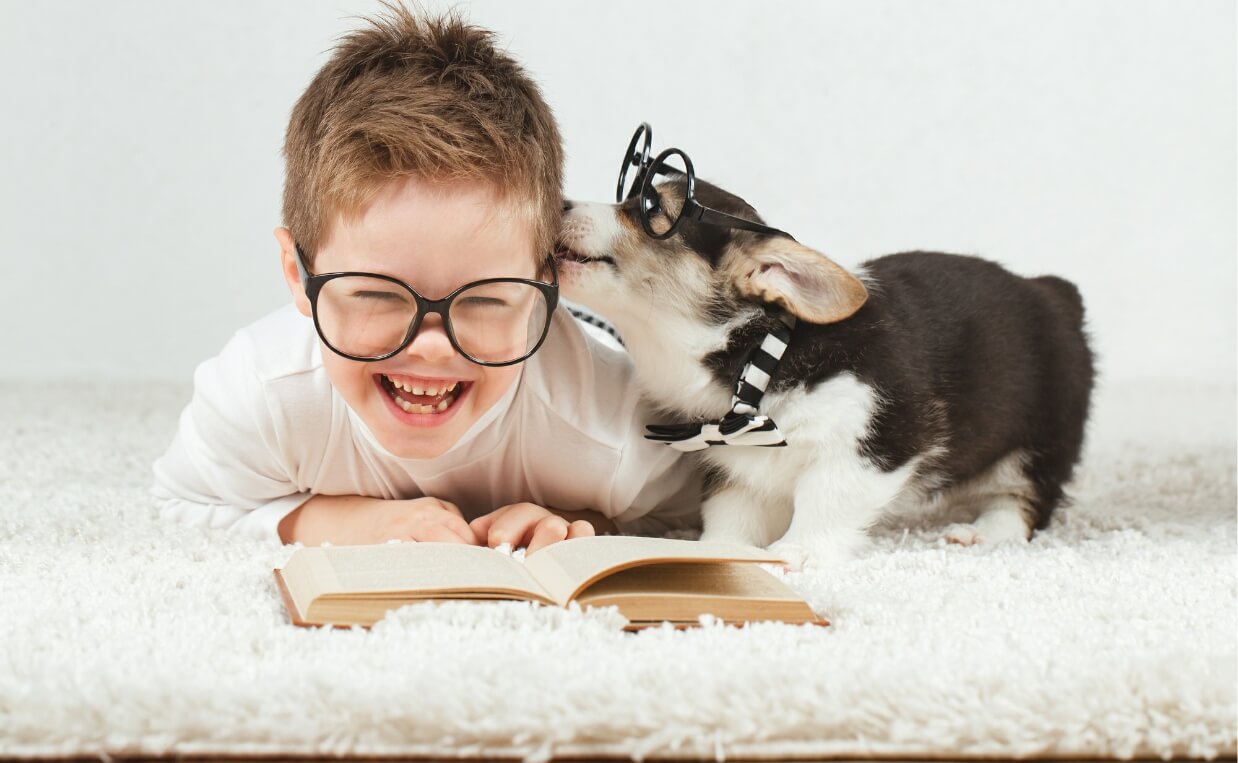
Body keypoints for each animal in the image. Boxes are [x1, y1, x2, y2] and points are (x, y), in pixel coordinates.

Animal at [559, 169, 1094, 569]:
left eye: (649, 207)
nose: (560, 203)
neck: (758, 360)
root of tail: (1054, 295)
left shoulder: (872, 442)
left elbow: (825, 499)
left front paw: (799, 552)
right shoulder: (743, 468)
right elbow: (733, 514)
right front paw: (717, 552)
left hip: (1041, 437)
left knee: (1025, 498)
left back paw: (982, 532)